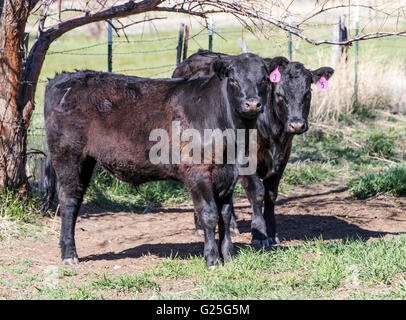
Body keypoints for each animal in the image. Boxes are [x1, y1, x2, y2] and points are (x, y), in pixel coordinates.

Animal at [42, 53, 274, 268]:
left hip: (86, 160)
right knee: (69, 200)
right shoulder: (197, 172)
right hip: (68, 155)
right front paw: (213, 259)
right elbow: (209, 214)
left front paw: (229, 255)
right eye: (233, 80)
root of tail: (64, 78)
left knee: (77, 198)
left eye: (264, 79)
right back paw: (69, 254)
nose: (252, 104)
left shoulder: (228, 173)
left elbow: (224, 214)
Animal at [173, 49, 334, 245]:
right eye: (279, 94)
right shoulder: (246, 159)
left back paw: (232, 225)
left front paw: (272, 232)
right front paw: (259, 234)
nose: (297, 124)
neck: (274, 132)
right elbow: (257, 193)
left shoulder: (283, 158)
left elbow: (271, 194)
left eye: (308, 93)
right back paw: (199, 227)